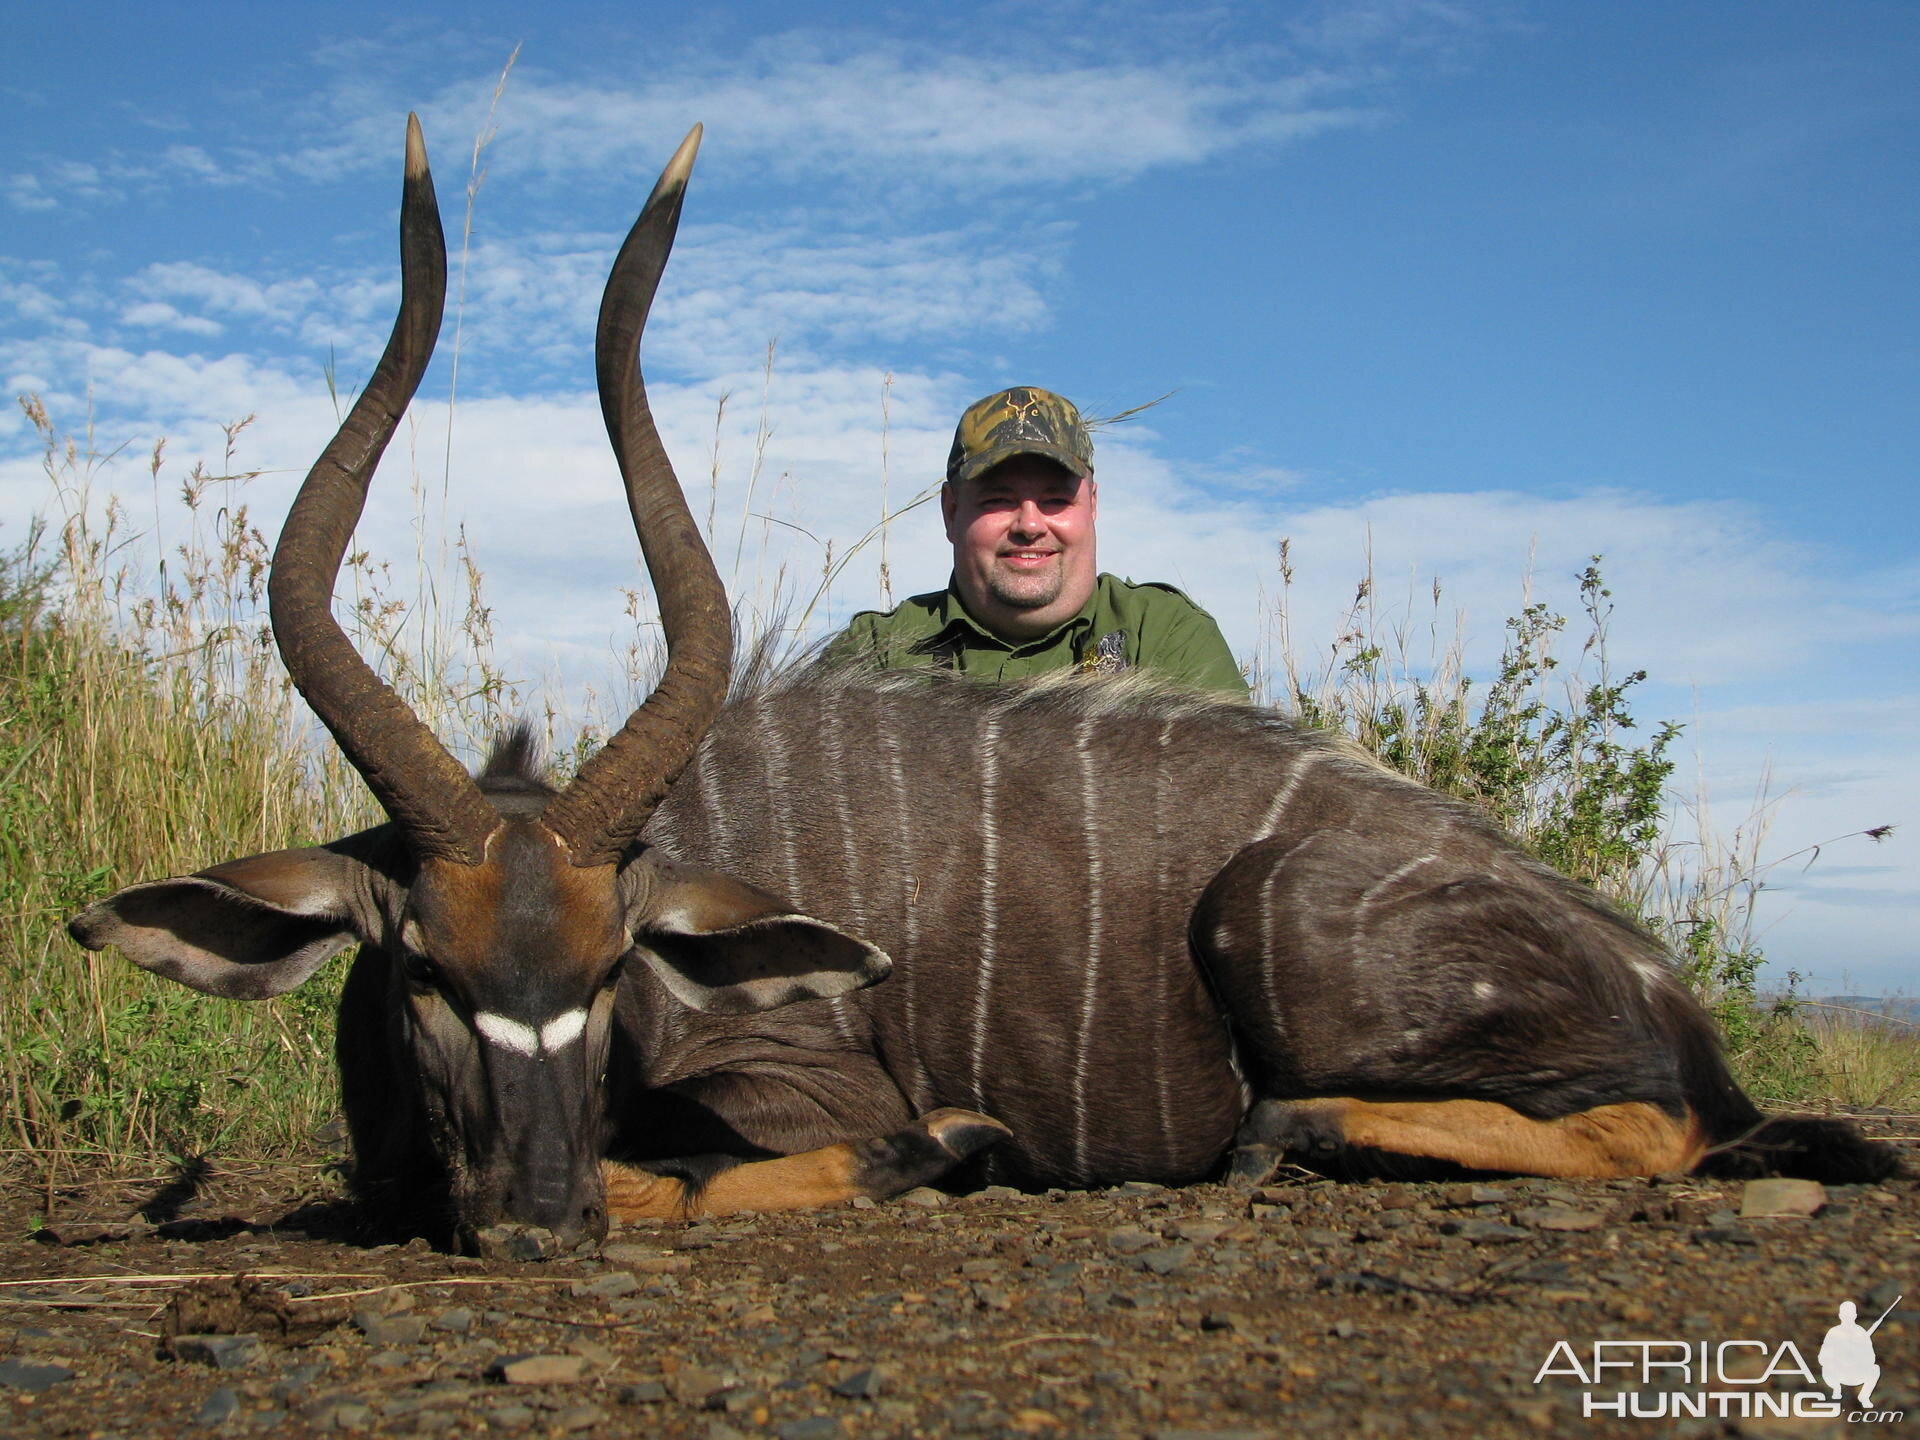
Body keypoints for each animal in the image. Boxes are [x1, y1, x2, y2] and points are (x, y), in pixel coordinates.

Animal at [67, 121, 1896, 1251]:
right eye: (427, 972)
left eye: (608, 972)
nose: (534, 1218)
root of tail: (1656, 979)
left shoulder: (803, 1084)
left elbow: (800, 1155)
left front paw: (956, 1149)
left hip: (1275, 913)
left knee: (1653, 1131)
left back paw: (1280, 1135)